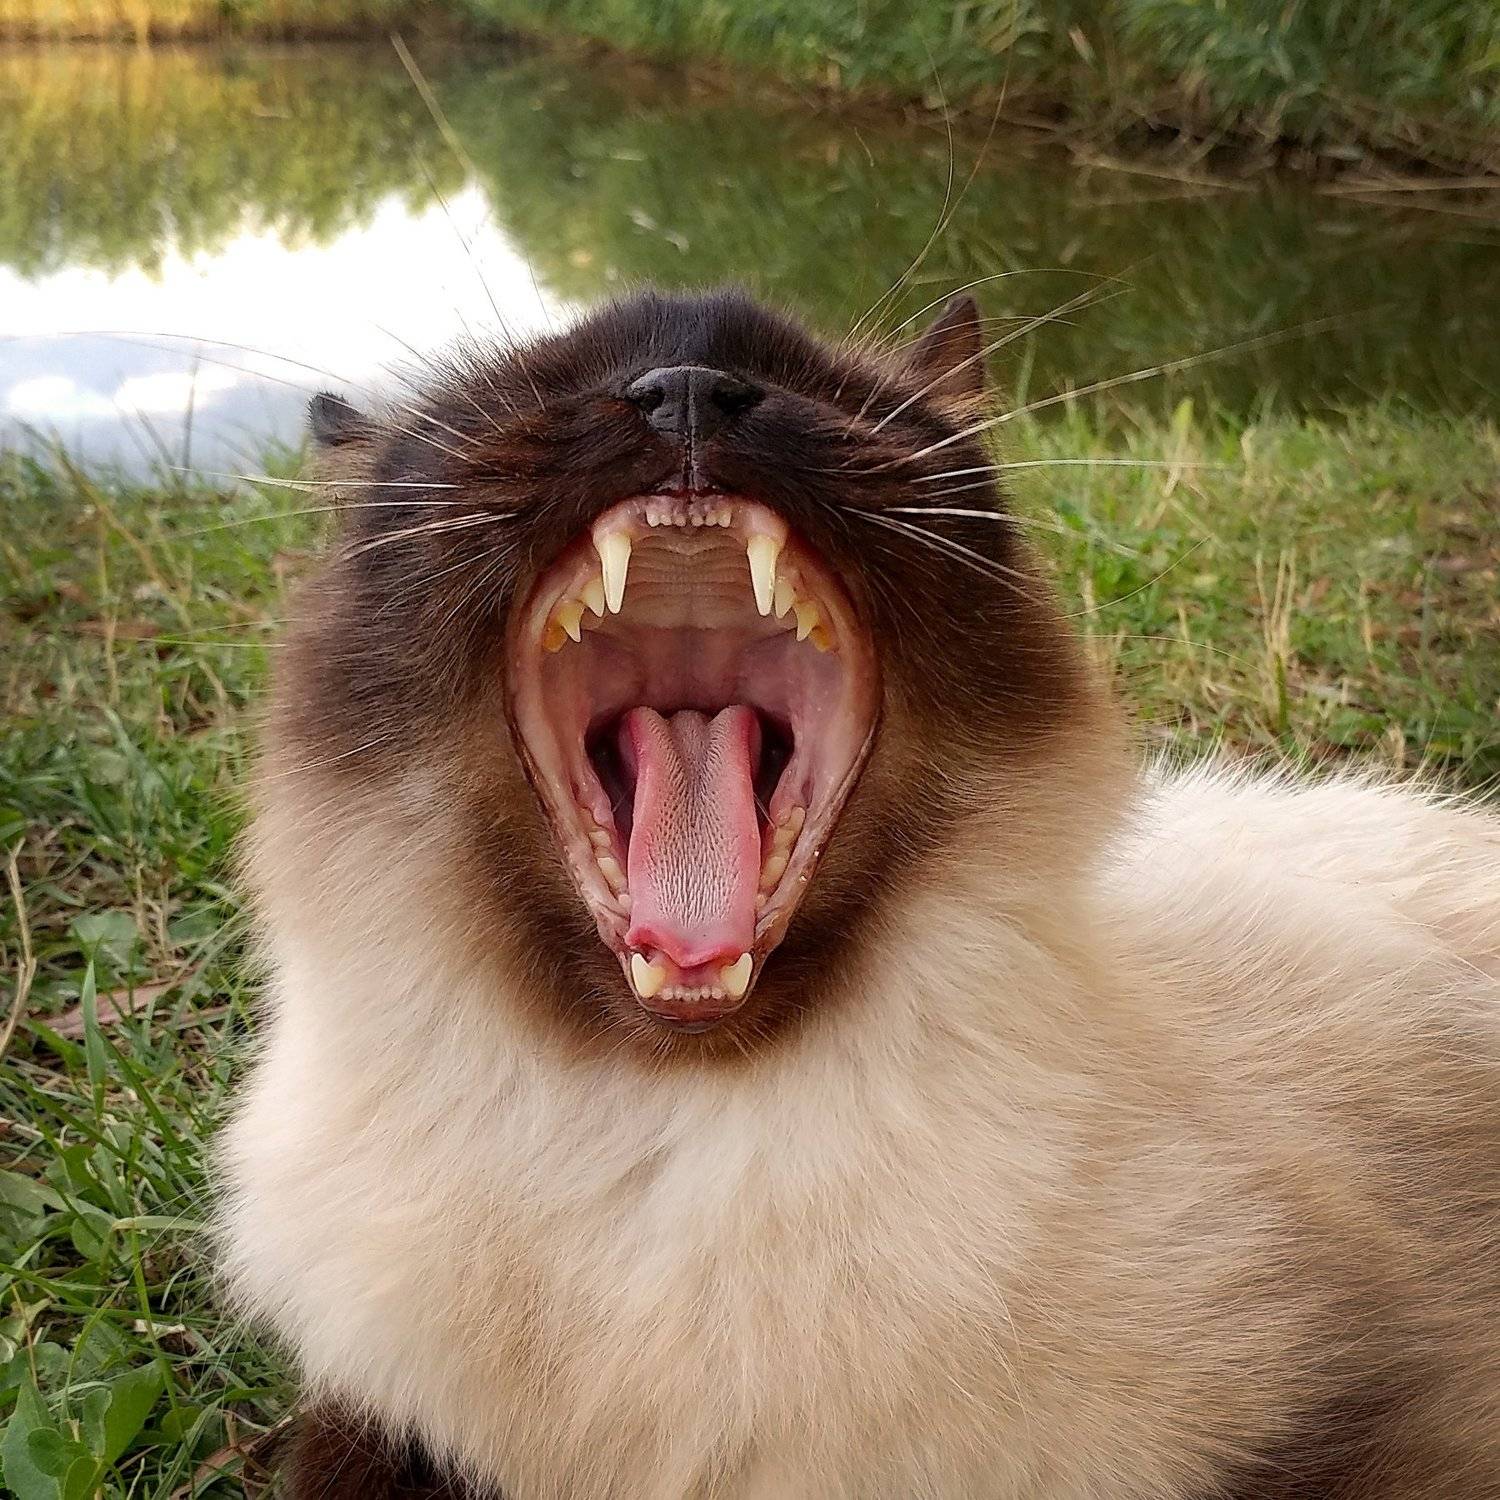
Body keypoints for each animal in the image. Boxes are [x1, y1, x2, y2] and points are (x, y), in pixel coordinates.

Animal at [219, 288, 1500, 1498]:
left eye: (803, 384)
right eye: (540, 391)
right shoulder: (386, 1418)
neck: (681, 1146)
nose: (687, 388)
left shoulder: (1342, 1416)